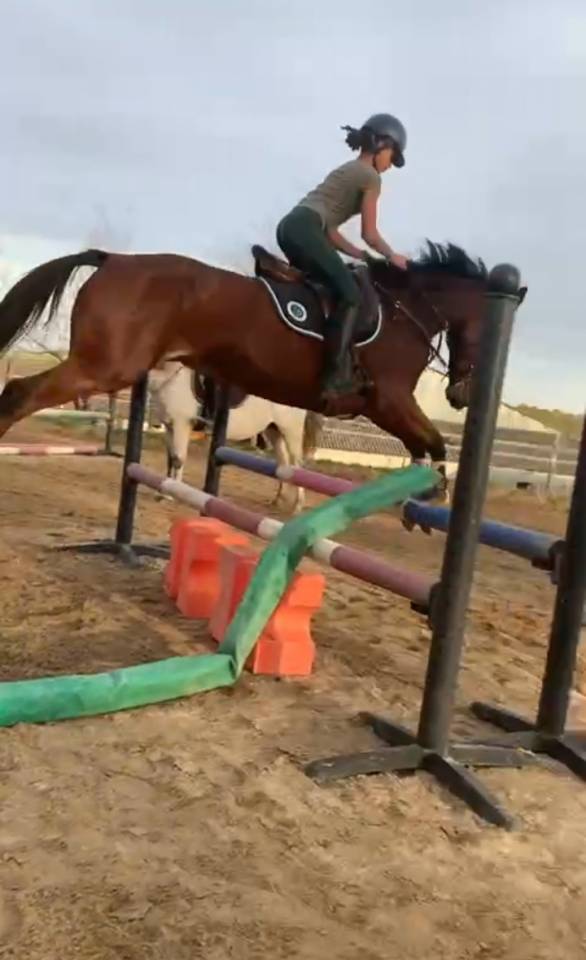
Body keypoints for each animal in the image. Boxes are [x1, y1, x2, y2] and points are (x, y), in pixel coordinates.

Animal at [0, 241, 526, 487]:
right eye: (489, 334)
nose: (461, 395)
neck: (405, 310)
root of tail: (111, 258)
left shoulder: (386, 406)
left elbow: (424, 446)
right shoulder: (388, 400)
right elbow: (435, 444)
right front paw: (431, 493)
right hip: (106, 366)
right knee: (20, 394)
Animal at [149, 361, 323, 512]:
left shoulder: (181, 425)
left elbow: (178, 460)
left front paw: (170, 494)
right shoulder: (169, 426)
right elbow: (170, 459)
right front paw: (161, 492)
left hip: (291, 431)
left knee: (297, 465)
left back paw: (297, 506)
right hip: (274, 431)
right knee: (284, 463)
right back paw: (277, 500)